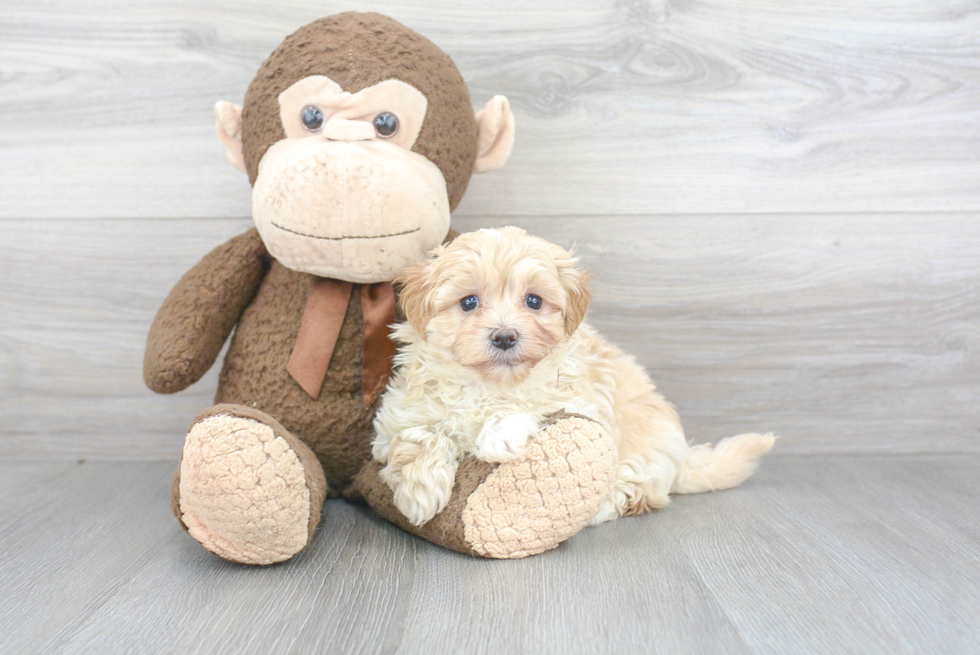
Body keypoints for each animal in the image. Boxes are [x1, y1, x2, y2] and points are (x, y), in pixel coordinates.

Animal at [372, 226, 776, 528]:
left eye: (533, 301)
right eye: (468, 302)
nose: (505, 336)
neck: (490, 384)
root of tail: (681, 459)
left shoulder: (578, 398)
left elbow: (528, 405)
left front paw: (499, 435)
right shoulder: (397, 416)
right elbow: (416, 436)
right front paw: (419, 491)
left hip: (643, 458)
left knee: (636, 492)